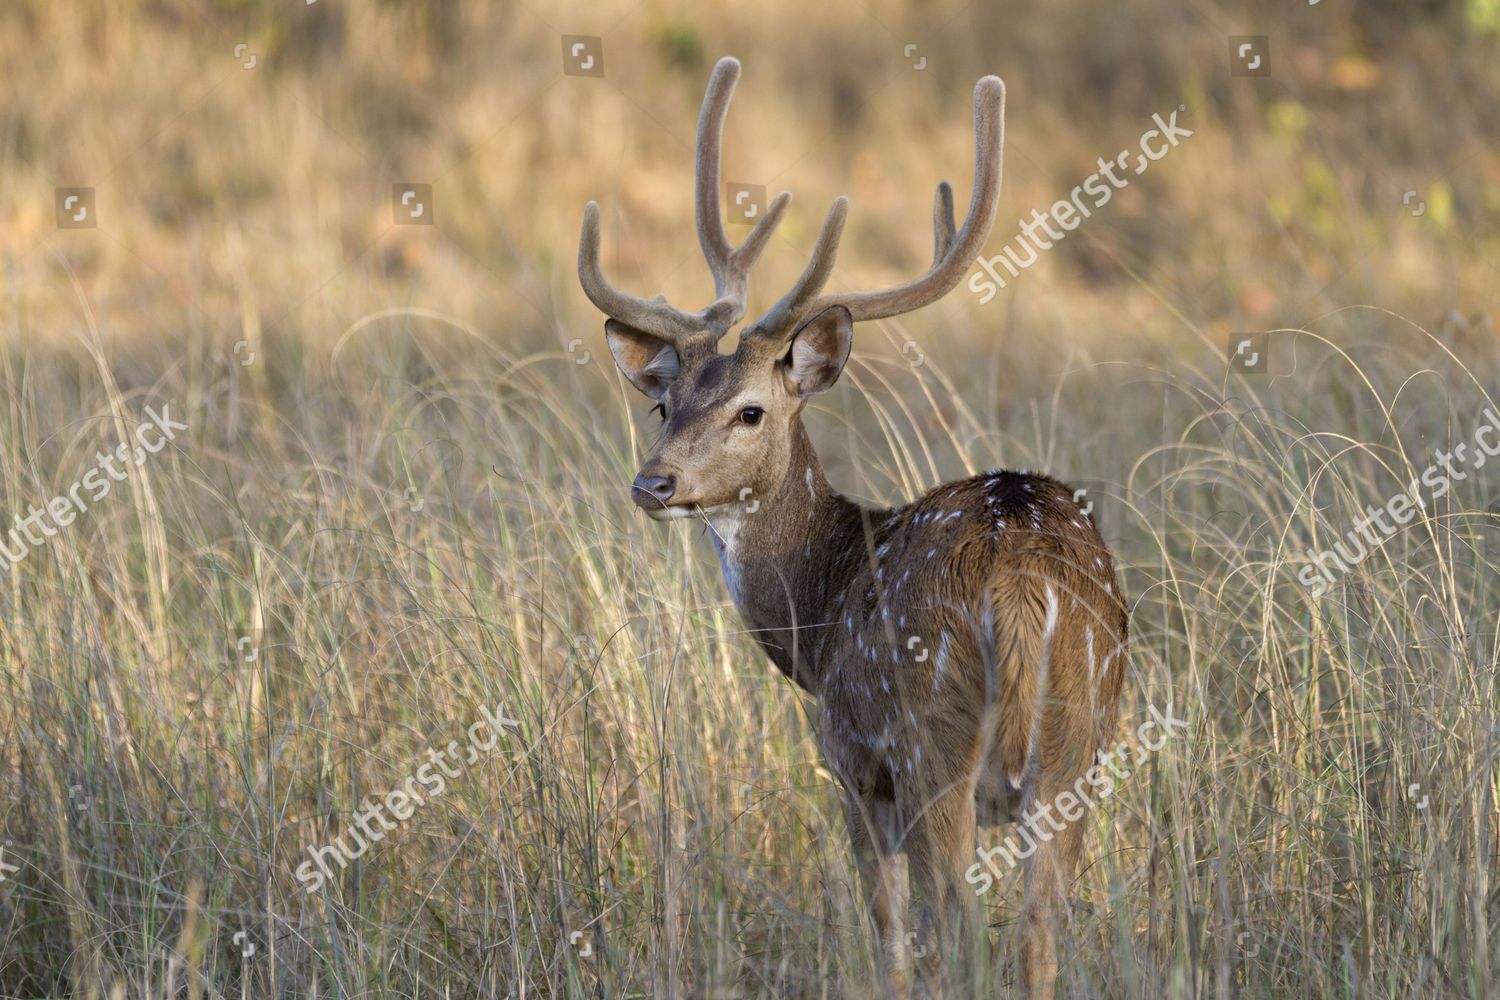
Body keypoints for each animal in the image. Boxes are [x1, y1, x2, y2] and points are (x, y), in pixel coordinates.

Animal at [573, 58, 1128, 995]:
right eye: (661, 403)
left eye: (751, 411)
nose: (654, 483)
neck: (818, 616)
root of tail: (1018, 574)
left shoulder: (852, 764)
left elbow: (888, 934)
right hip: (1076, 747)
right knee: (1038, 932)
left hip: (931, 743)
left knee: (958, 921)